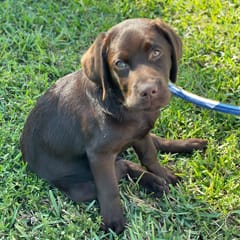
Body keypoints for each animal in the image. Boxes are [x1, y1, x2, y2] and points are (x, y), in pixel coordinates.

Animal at [20, 19, 206, 234]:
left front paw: (162, 174)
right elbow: (109, 188)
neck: (121, 104)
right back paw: (152, 181)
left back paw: (188, 147)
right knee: (120, 167)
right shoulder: (99, 154)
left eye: (156, 52)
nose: (148, 91)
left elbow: (150, 156)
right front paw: (113, 222)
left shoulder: (141, 134)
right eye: (120, 64)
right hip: (76, 186)